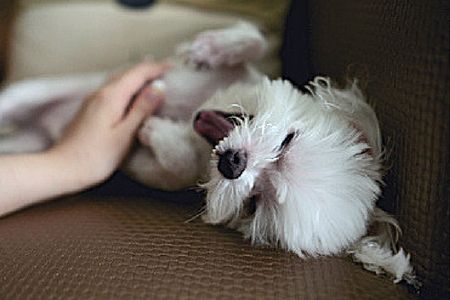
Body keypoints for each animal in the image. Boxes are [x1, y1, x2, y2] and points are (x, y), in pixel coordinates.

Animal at [0, 21, 418, 286]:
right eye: (287, 142)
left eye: (253, 203)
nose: (233, 164)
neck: (199, 110)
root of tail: (42, 128)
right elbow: (254, 39)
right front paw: (211, 49)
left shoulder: (164, 170)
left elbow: (176, 163)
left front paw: (157, 131)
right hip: (30, 93)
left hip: (30, 141)